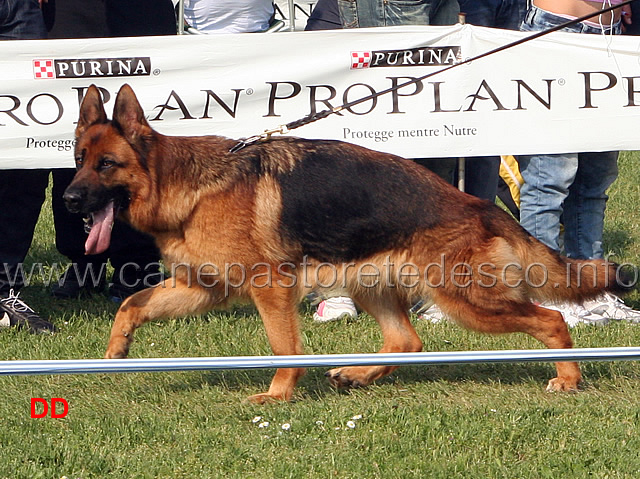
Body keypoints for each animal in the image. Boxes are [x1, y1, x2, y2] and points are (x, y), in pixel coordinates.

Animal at [63, 84, 632, 404]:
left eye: (106, 165)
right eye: (77, 159)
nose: (67, 200)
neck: (186, 185)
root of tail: (480, 206)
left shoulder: (270, 290)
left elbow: (284, 348)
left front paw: (279, 396)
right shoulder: (204, 287)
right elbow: (133, 305)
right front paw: (116, 352)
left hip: (468, 301)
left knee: (551, 319)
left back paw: (569, 379)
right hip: (372, 285)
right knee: (407, 342)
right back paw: (357, 375)